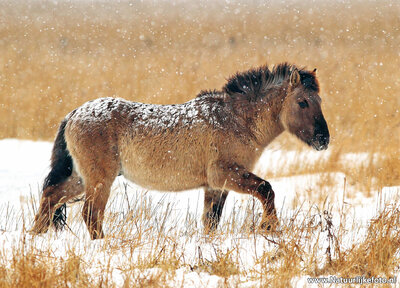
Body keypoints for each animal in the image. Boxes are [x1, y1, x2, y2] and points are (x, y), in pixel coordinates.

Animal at [31, 63, 330, 241]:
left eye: (320, 100)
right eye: (302, 102)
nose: (323, 139)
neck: (236, 119)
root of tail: (74, 114)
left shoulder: (216, 186)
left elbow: (211, 221)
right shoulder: (227, 174)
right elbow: (266, 189)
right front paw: (270, 227)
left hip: (81, 178)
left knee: (51, 196)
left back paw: (36, 236)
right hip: (98, 180)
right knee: (91, 214)